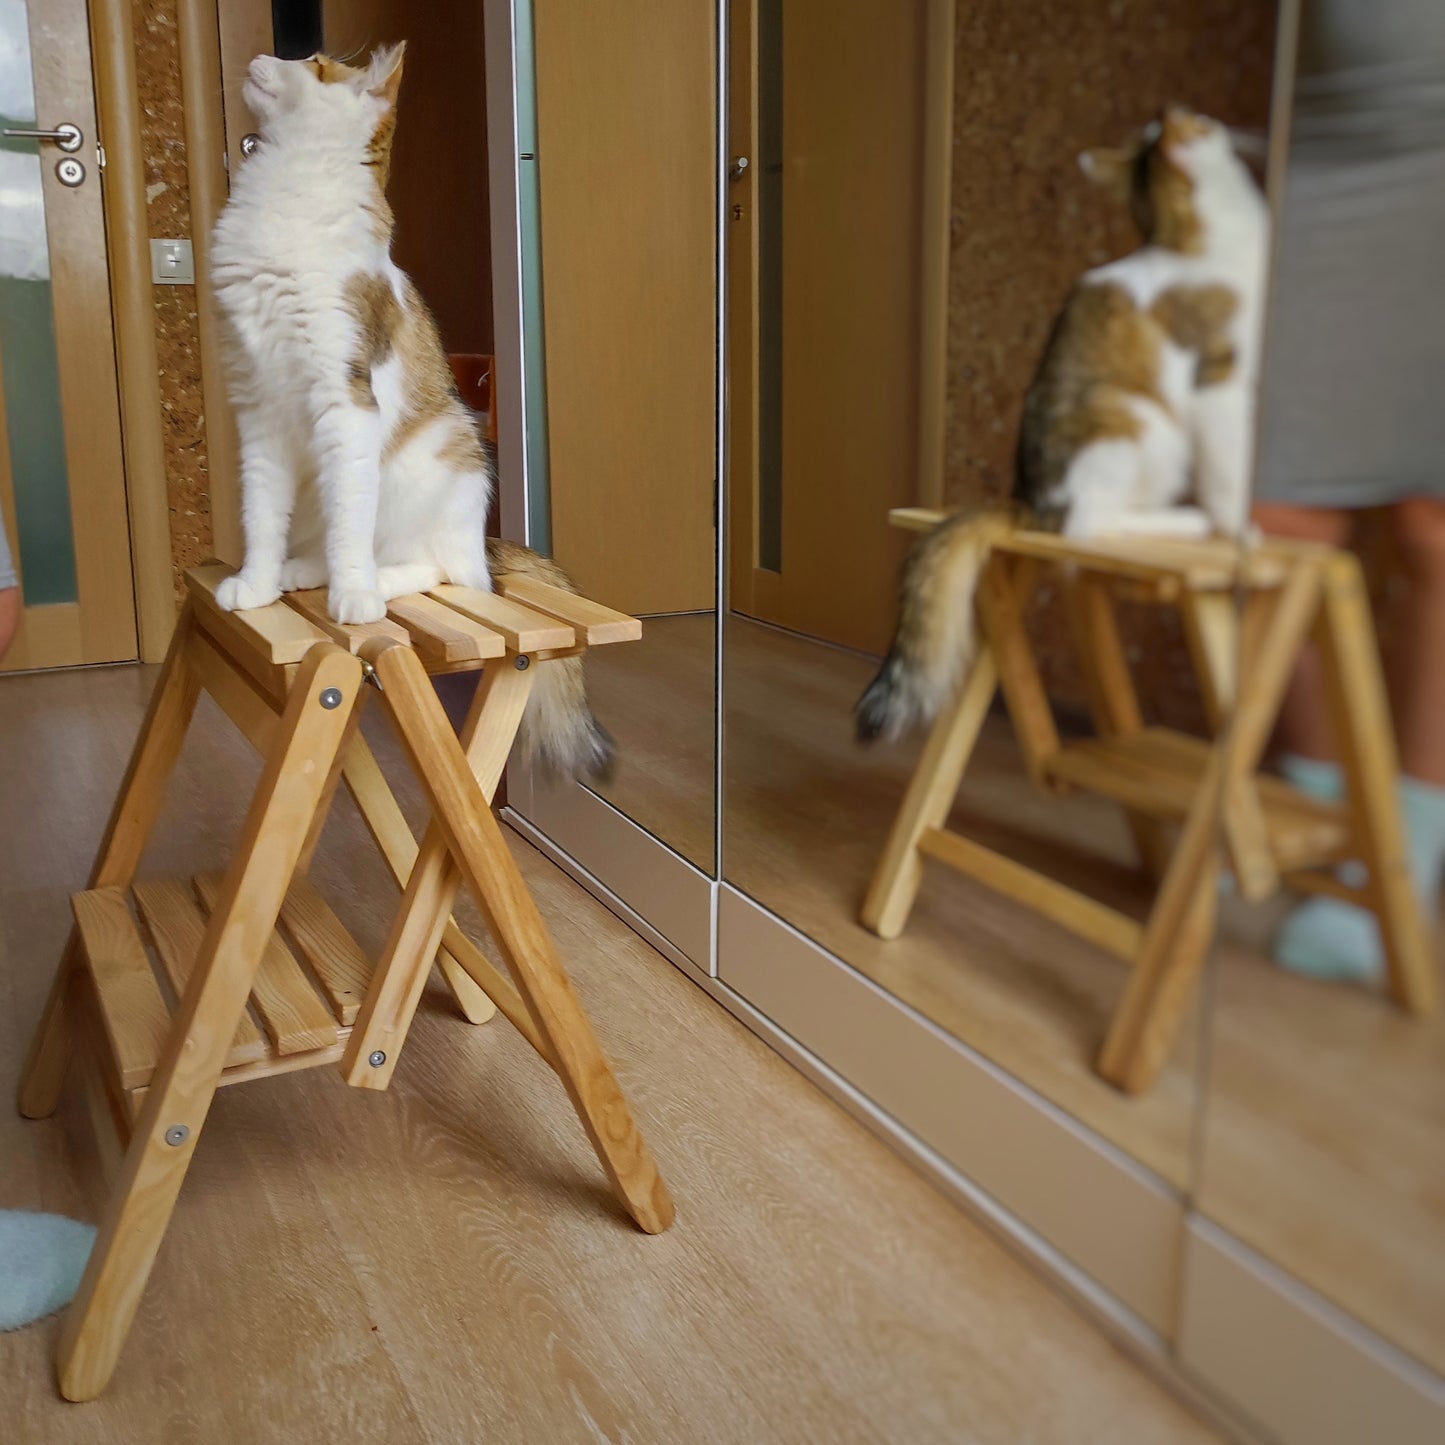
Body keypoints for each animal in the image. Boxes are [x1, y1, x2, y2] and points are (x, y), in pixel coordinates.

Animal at [215, 42, 615, 780]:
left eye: (313, 61)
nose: (263, 54)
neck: (284, 190)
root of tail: (486, 542)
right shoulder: (258, 408)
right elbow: (261, 517)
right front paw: (253, 584)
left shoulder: (345, 401)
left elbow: (351, 526)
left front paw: (353, 598)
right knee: (336, 537)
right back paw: (297, 570)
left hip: (446, 450)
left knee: (435, 564)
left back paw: (370, 579)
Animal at [855, 108, 1265, 745]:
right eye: (1199, 119)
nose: (1210, 121)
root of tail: (1026, 499)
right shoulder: (1219, 377)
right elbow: (1229, 469)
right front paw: (1240, 531)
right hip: (1131, 419)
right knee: (1084, 529)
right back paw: (1187, 522)